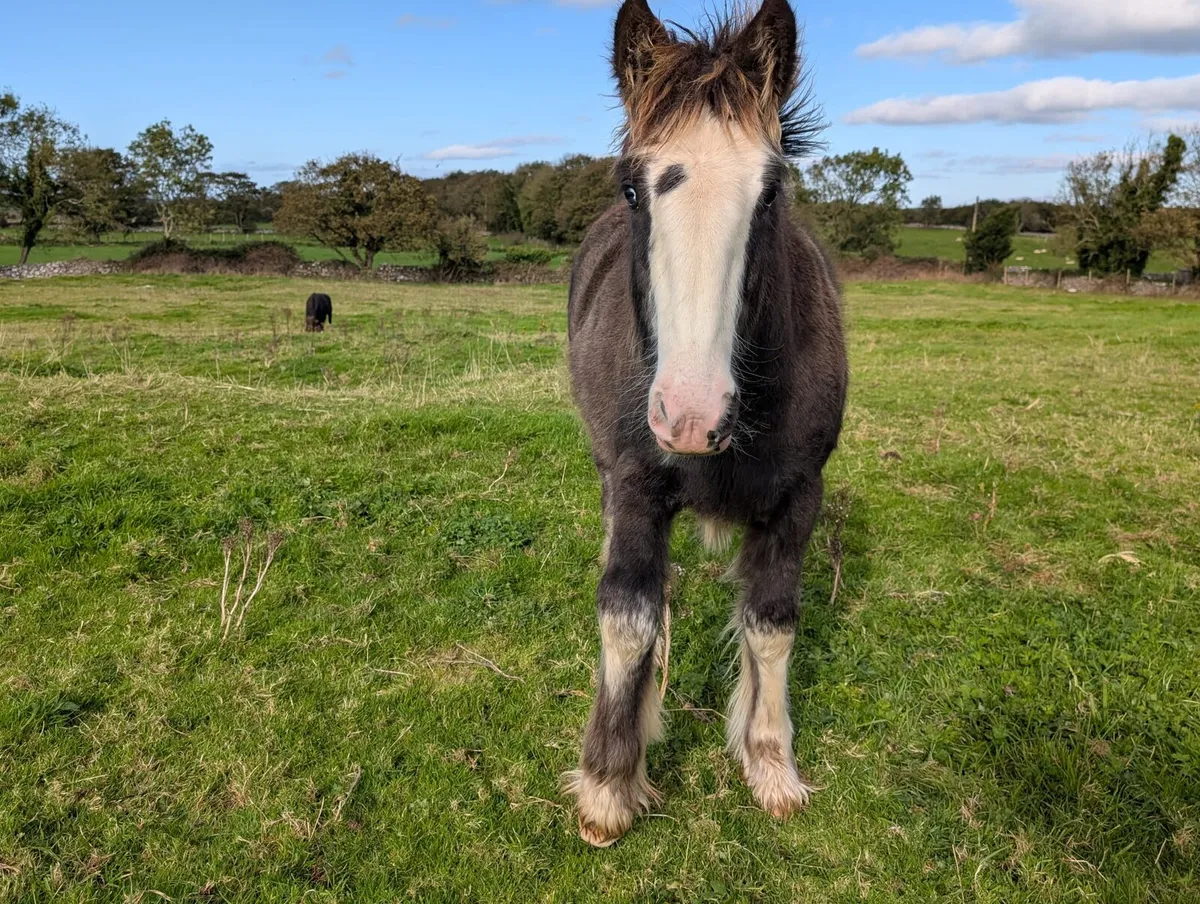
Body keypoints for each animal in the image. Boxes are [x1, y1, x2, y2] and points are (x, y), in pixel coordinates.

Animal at [564, 0, 848, 847]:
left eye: (771, 192)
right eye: (633, 189)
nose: (690, 413)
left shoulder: (799, 498)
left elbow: (772, 623)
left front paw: (769, 763)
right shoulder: (634, 486)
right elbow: (627, 618)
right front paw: (609, 785)